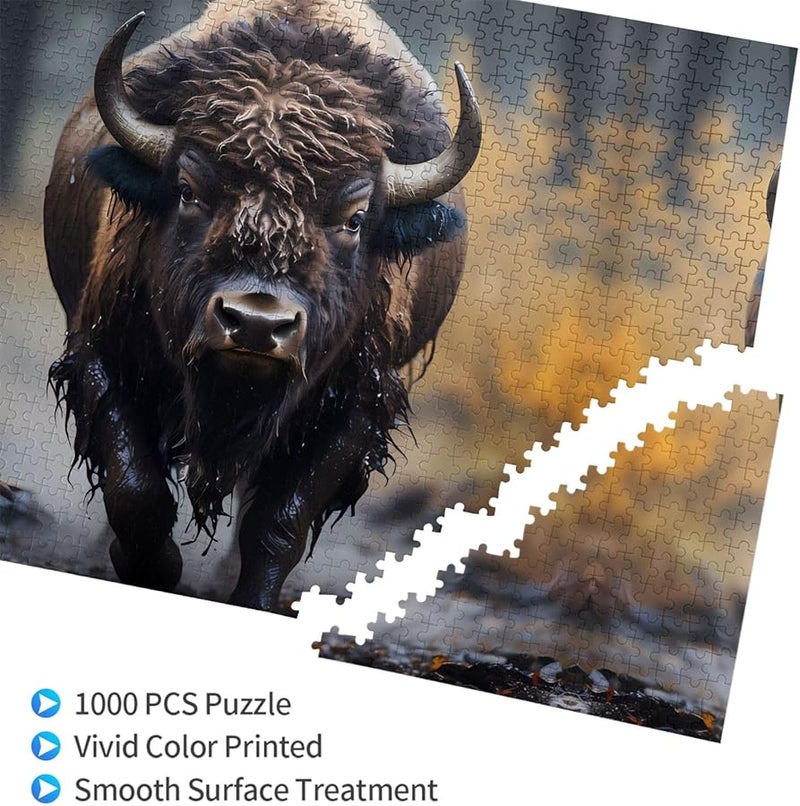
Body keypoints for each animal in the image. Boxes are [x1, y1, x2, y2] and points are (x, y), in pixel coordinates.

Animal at [43, 0, 481, 610]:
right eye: (187, 190)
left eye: (355, 219)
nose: (254, 324)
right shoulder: (102, 357)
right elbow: (136, 489)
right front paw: (148, 567)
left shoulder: (353, 408)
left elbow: (278, 523)